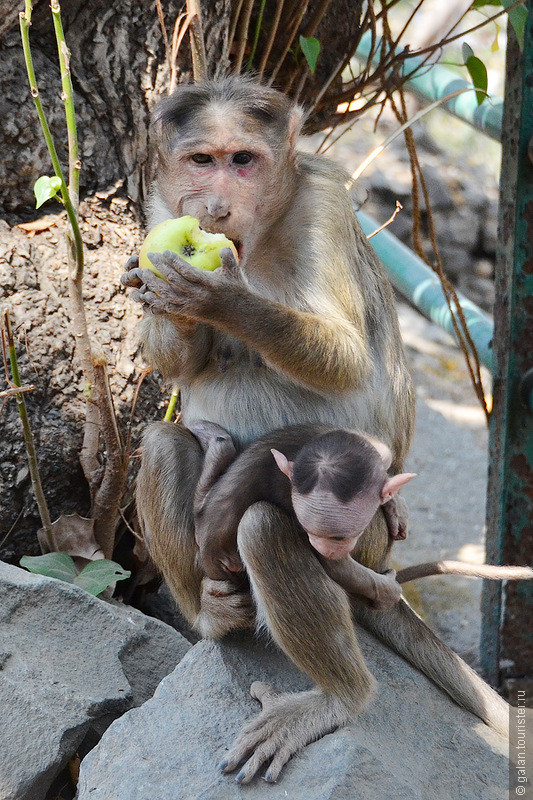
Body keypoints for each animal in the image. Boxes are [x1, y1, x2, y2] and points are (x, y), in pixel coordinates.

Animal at [191, 422, 416, 608]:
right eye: (308, 530)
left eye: (341, 537)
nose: (325, 549)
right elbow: (338, 570)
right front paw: (387, 590)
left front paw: (393, 501)